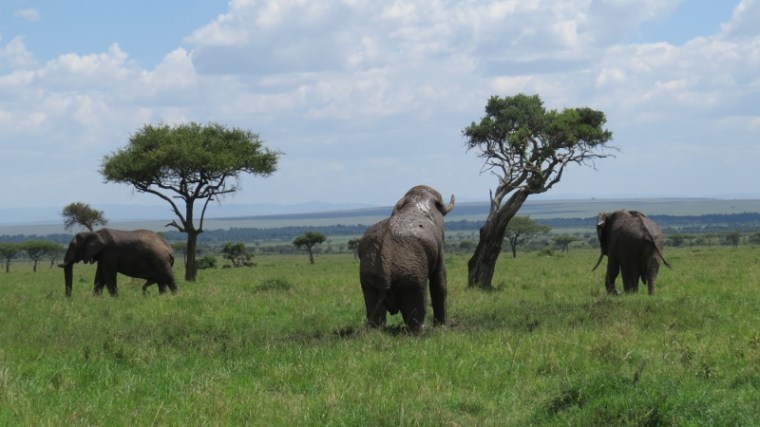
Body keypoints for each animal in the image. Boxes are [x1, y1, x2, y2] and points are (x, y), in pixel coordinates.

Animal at [358, 185, 455, 332]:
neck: (415, 200)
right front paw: (442, 327)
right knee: (416, 307)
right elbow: (439, 282)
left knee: (373, 307)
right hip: (412, 275)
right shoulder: (439, 248)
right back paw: (423, 330)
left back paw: (376, 330)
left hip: (369, 275)